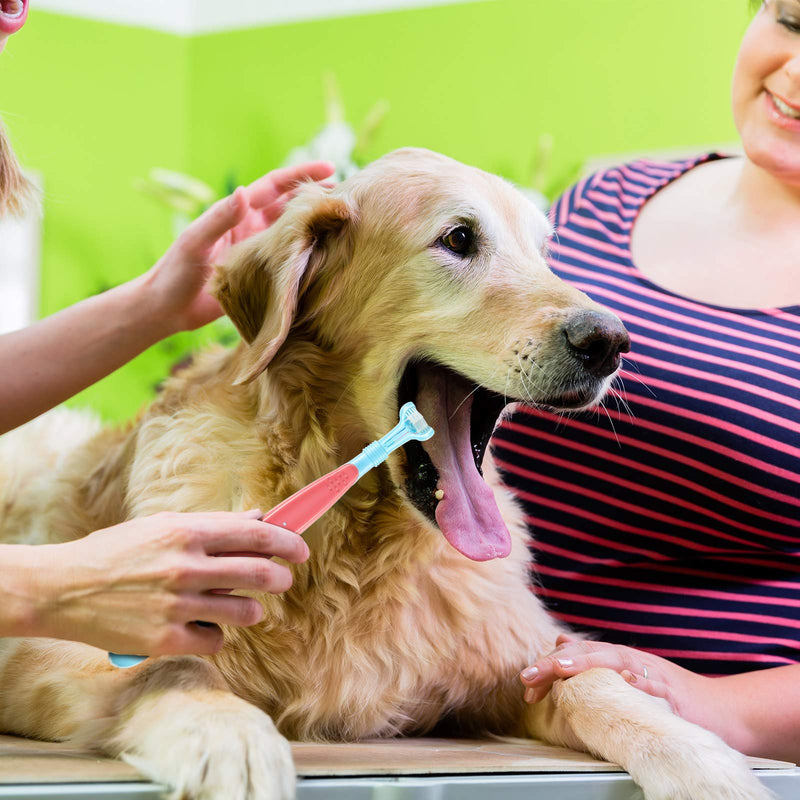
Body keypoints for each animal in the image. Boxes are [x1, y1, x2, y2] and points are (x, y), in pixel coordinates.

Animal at [0, 150, 772, 800]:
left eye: (545, 252)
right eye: (458, 239)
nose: (611, 341)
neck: (359, 537)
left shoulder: (511, 661)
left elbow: (597, 685)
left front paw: (700, 760)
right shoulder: (48, 643)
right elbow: (170, 663)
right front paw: (228, 738)